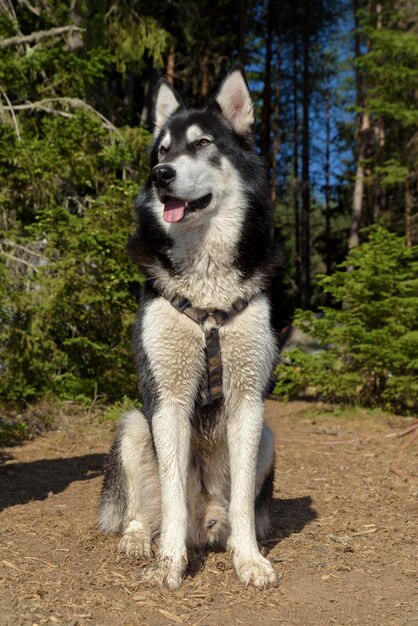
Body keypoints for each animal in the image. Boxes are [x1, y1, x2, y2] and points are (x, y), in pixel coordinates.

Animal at [99, 66, 280, 588]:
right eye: (162, 150)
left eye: (201, 144)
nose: (161, 176)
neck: (207, 292)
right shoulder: (167, 398)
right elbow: (173, 494)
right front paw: (169, 563)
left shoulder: (248, 401)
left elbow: (243, 503)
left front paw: (249, 559)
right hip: (133, 425)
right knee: (145, 510)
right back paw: (140, 539)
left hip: (268, 436)